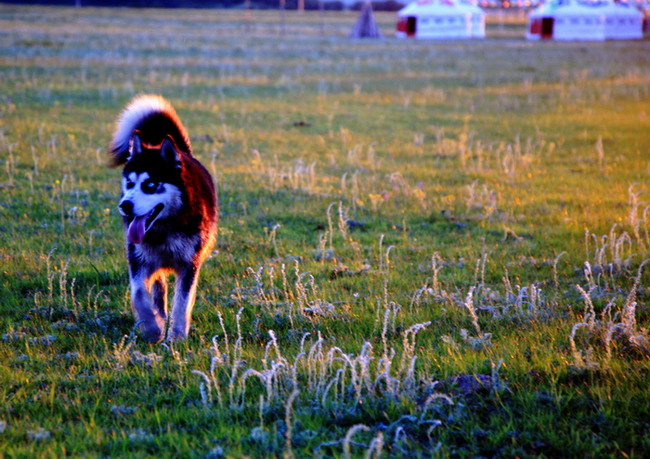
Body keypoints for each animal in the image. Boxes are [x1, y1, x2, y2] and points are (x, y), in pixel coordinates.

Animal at [110, 95, 218, 344]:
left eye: (150, 184)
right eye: (129, 183)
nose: (124, 206)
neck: (164, 229)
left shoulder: (189, 264)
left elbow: (182, 303)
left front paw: (176, 336)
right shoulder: (139, 259)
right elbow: (139, 294)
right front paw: (152, 327)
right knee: (158, 290)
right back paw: (159, 316)